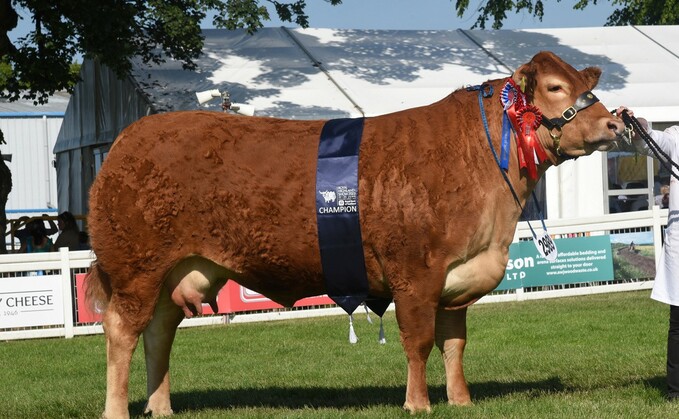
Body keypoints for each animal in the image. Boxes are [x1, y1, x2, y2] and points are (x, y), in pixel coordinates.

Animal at [85, 50, 628, 418]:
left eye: (584, 83)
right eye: (555, 87)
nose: (615, 123)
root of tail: (129, 140)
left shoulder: (458, 277)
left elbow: (454, 343)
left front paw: (461, 400)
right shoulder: (415, 272)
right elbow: (419, 341)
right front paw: (418, 403)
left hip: (177, 271)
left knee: (158, 332)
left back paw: (161, 407)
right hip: (135, 267)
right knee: (121, 332)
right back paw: (117, 410)